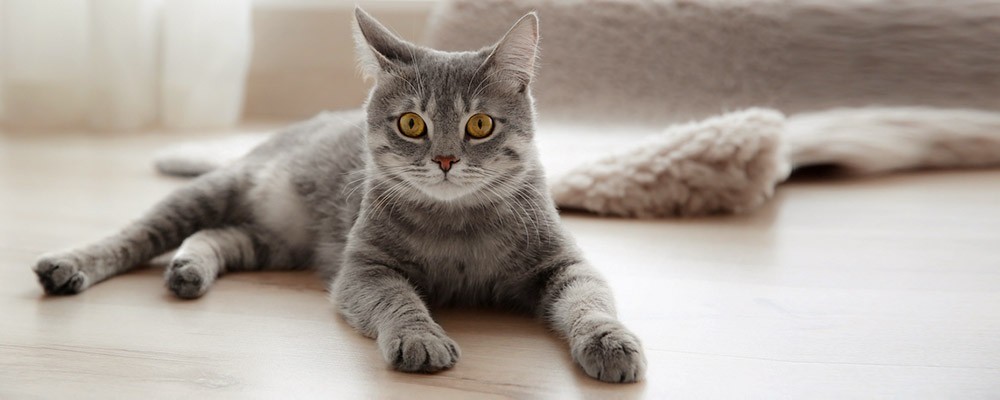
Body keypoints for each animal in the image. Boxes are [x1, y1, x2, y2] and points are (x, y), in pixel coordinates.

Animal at [31, 7, 648, 382]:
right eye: (411, 124)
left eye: (479, 125)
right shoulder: (363, 269)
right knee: (135, 234)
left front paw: (610, 340)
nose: (445, 160)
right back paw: (69, 264)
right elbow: (399, 301)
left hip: (276, 242)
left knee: (217, 236)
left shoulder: (562, 262)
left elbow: (589, 300)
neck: (458, 228)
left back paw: (190, 268)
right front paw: (420, 338)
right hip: (215, 193)